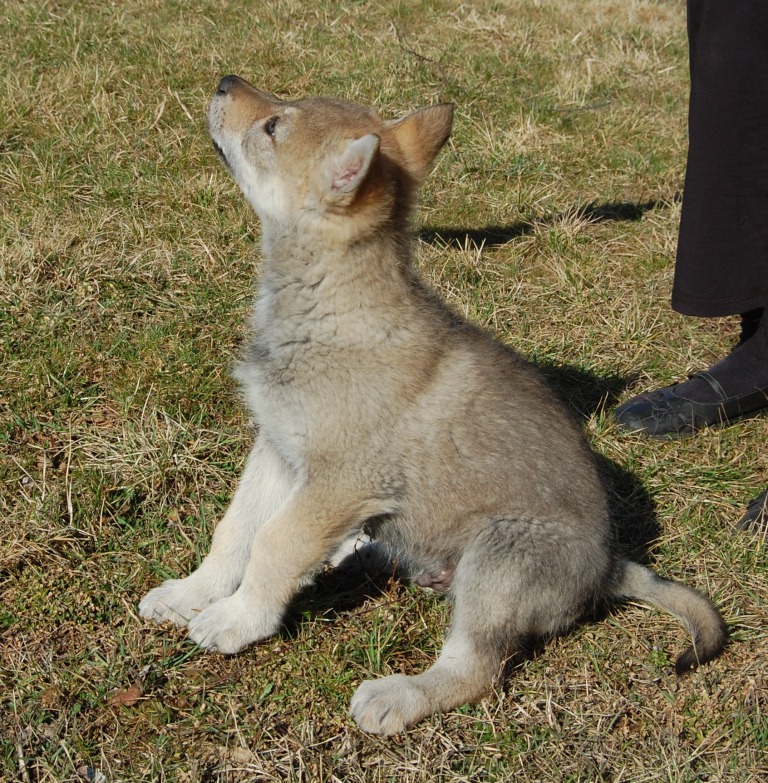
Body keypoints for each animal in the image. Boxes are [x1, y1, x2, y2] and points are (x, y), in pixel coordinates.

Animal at [140, 76, 728, 740]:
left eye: (274, 127)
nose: (224, 83)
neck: (328, 311)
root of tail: (607, 570)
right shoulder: (277, 449)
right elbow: (236, 530)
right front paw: (191, 593)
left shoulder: (339, 482)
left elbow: (274, 545)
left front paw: (237, 620)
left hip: (497, 558)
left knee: (476, 669)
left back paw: (400, 695)